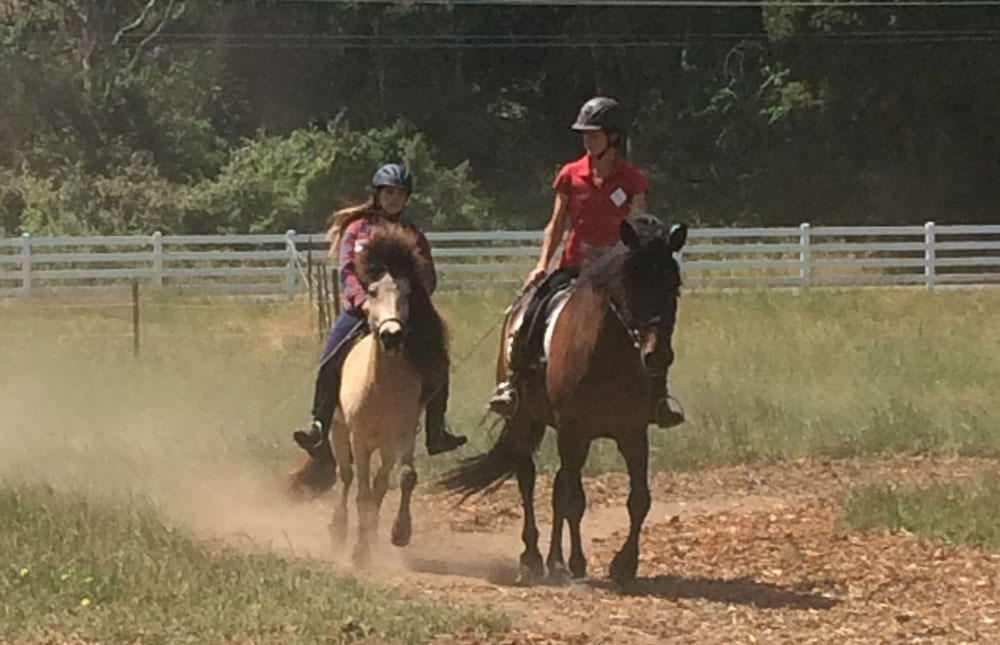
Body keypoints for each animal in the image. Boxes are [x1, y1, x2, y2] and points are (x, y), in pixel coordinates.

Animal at [444, 215, 688, 584]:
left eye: (673, 286)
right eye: (630, 284)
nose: (657, 356)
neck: (609, 353)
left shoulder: (632, 433)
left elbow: (639, 499)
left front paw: (624, 565)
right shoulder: (574, 431)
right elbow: (572, 499)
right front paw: (569, 562)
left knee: (558, 485)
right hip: (526, 421)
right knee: (529, 481)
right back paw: (535, 558)